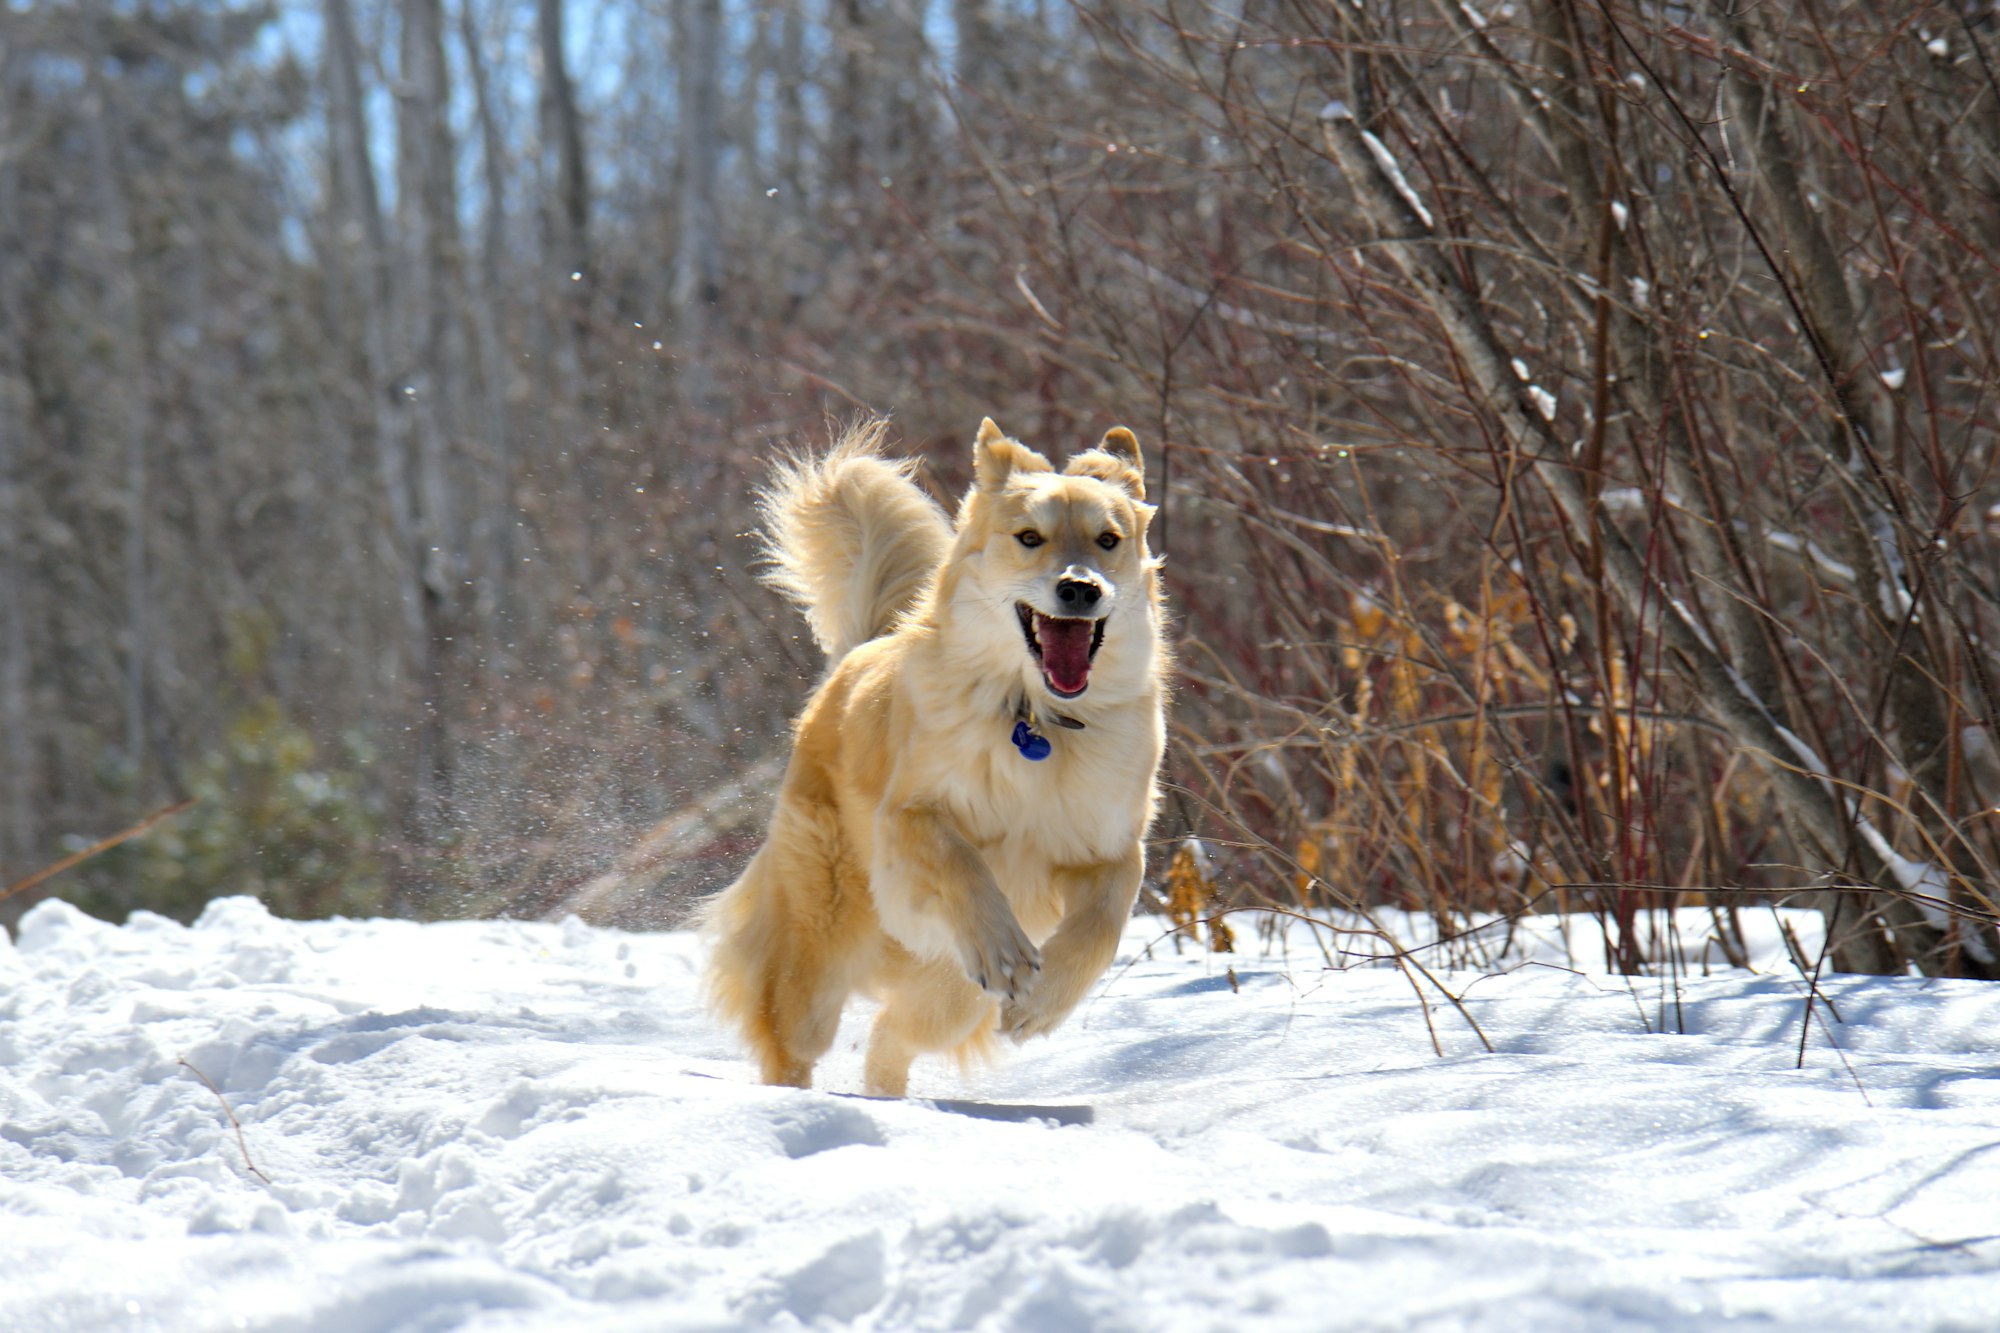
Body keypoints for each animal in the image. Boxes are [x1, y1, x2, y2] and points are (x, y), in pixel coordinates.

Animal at [704, 412, 1168, 1088]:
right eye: (1029, 537)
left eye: (1108, 539)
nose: (1080, 589)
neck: (1034, 719)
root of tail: (857, 652)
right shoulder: (909, 821)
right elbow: (960, 861)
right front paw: (1004, 953)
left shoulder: (1109, 847)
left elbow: (1103, 921)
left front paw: (1043, 998)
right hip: (819, 957)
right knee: (793, 1040)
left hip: (949, 996)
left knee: (890, 1037)